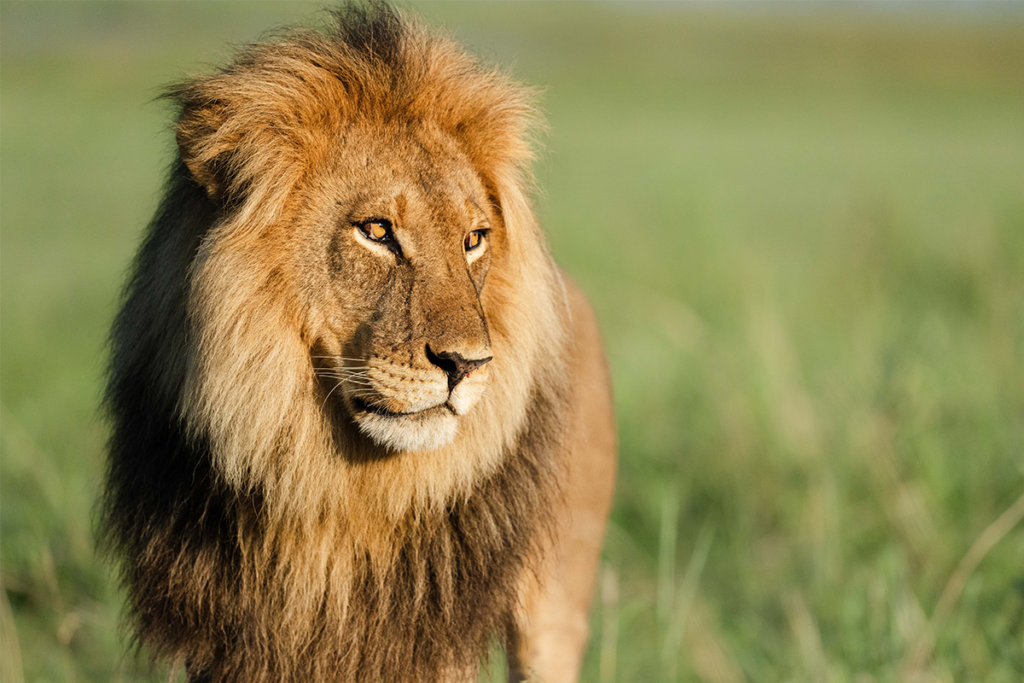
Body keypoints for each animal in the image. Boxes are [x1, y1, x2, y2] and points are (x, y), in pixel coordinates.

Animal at [101, 5, 614, 683]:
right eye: (376, 231)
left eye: (473, 239)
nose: (468, 365)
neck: (331, 492)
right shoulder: (229, 643)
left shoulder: (430, 641)